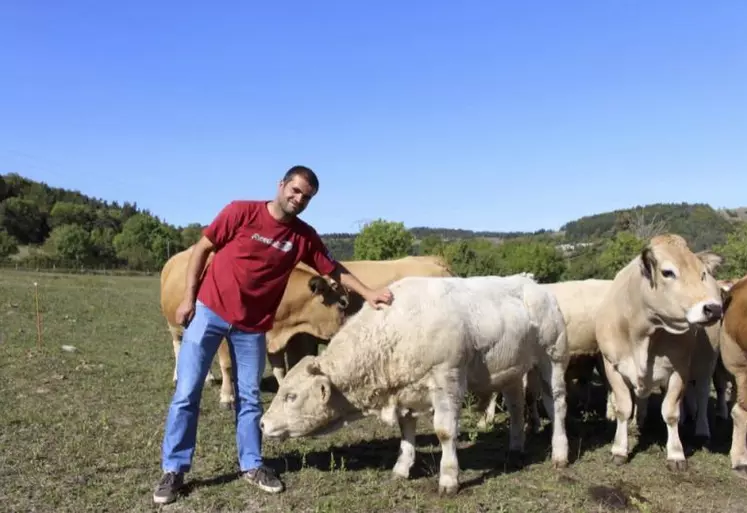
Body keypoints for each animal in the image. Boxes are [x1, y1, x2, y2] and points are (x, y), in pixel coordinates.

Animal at [260, 274, 568, 494]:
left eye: (291, 396)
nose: (262, 424)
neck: (397, 326)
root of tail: (533, 283)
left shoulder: (447, 380)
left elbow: (445, 432)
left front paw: (448, 478)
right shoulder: (403, 390)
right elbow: (406, 430)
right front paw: (402, 467)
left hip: (552, 357)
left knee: (556, 405)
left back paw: (560, 453)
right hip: (511, 370)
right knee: (516, 406)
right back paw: (515, 447)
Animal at [592, 234, 720, 470]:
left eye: (702, 274)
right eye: (667, 272)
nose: (713, 308)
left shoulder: (679, 368)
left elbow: (670, 412)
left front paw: (676, 453)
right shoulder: (612, 366)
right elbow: (623, 408)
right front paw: (619, 449)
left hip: (706, 362)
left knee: (702, 393)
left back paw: (701, 430)